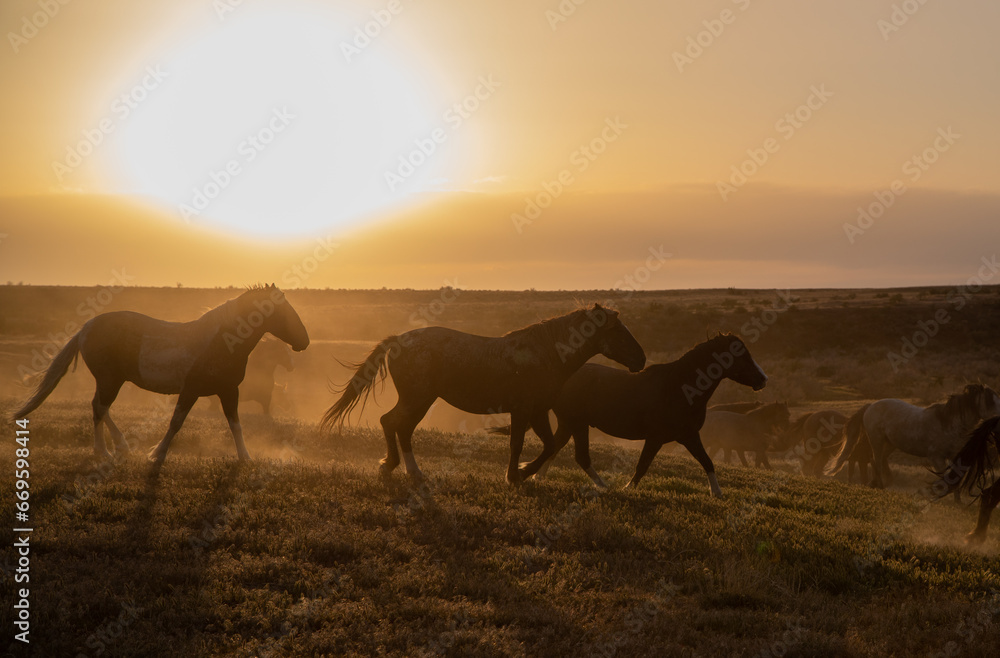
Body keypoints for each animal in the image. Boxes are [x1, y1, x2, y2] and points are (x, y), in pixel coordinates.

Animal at [10, 284, 308, 464]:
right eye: (282, 311)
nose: (303, 341)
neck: (222, 340)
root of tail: (86, 327)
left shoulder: (228, 391)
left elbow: (235, 424)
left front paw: (245, 457)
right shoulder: (191, 390)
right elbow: (176, 422)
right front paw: (157, 453)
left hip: (111, 381)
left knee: (99, 407)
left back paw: (118, 447)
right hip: (109, 380)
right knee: (99, 408)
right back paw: (105, 451)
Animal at [324, 302, 644, 482]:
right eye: (617, 330)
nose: (641, 359)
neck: (545, 352)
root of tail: (397, 340)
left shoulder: (538, 411)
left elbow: (548, 445)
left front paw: (524, 473)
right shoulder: (523, 410)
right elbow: (517, 444)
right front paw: (515, 476)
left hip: (420, 400)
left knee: (398, 427)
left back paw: (403, 470)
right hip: (418, 399)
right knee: (393, 424)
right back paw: (398, 468)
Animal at [512, 330, 768, 494]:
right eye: (741, 356)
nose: (763, 379)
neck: (681, 387)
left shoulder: (689, 436)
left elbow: (707, 462)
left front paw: (717, 493)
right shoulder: (656, 438)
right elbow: (642, 465)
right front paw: (628, 488)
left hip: (569, 424)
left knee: (555, 448)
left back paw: (536, 476)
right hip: (577, 424)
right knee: (579, 456)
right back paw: (602, 486)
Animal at [828, 382, 1000, 484]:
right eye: (991, 400)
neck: (948, 424)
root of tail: (870, 406)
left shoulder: (954, 456)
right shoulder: (936, 458)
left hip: (890, 444)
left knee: (881, 460)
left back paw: (888, 482)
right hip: (876, 440)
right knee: (875, 460)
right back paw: (879, 484)